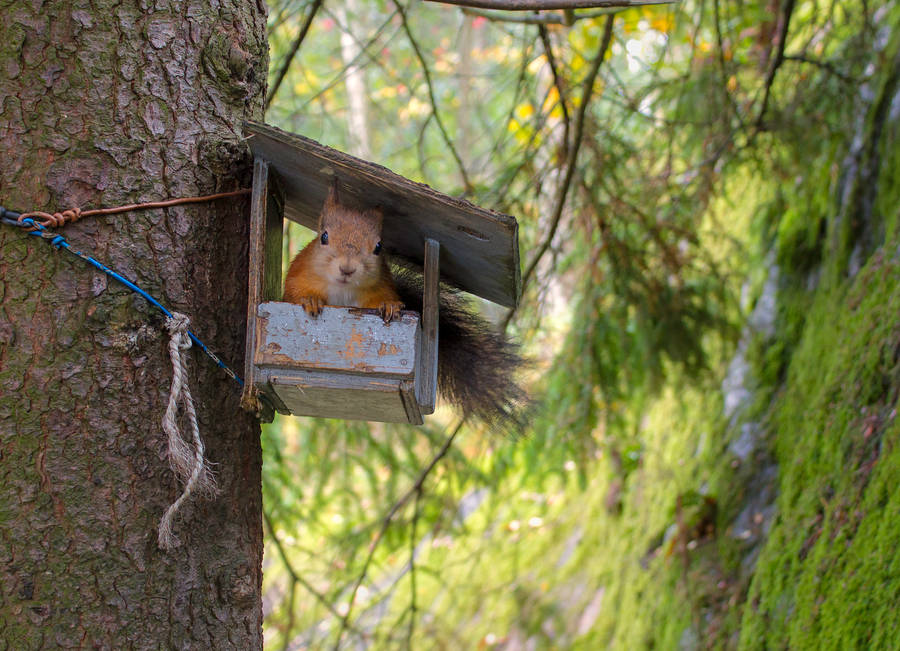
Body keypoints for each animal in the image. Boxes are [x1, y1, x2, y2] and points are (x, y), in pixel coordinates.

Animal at [282, 181, 528, 431]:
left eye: (378, 246)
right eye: (323, 237)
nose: (347, 269)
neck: (342, 290)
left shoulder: (379, 288)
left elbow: (383, 300)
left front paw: (389, 306)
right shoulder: (297, 277)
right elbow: (293, 294)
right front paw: (310, 300)